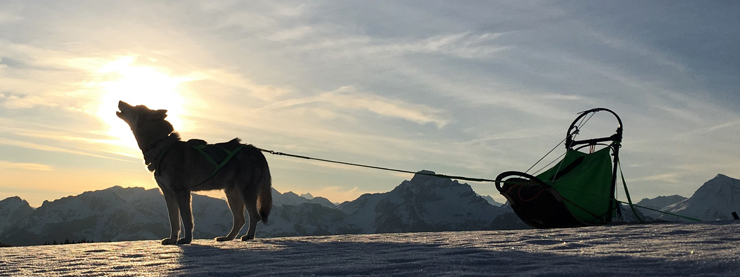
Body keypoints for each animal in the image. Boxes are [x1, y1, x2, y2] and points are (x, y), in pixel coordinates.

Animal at [117, 100, 274, 243]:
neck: (161, 147)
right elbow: (174, 221)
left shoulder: (182, 193)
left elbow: (186, 220)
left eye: (135, 107)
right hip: (232, 194)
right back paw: (227, 238)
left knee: (254, 216)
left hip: (246, 193)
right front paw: (172, 240)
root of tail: (257, 151)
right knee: (240, 219)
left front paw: (187, 240)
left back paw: (249, 236)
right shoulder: (168, 194)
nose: (119, 101)